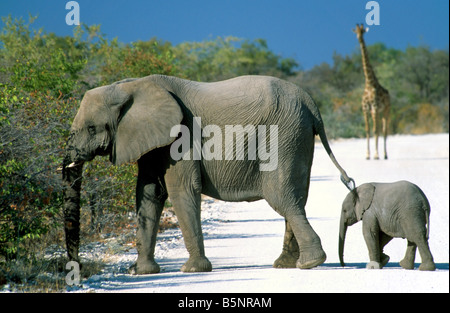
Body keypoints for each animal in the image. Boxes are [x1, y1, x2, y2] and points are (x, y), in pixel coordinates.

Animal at [60, 75, 356, 272]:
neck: (129, 86)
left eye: (91, 128)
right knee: (296, 198)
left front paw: (192, 270)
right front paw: (141, 272)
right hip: (298, 137)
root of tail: (311, 104)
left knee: (283, 198)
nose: (76, 268)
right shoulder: (152, 142)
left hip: (283, 135)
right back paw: (287, 264)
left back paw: (309, 263)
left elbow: (180, 191)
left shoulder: (181, 136)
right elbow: (148, 193)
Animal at [352, 23, 390, 158]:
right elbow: (368, 130)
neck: (369, 84)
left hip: (386, 110)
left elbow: (375, 131)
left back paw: (384, 154)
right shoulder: (365, 109)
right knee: (380, 129)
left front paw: (376, 155)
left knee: (384, 130)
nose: (359, 38)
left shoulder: (374, 108)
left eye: (363, 31)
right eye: (356, 31)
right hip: (379, 112)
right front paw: (368, 155)